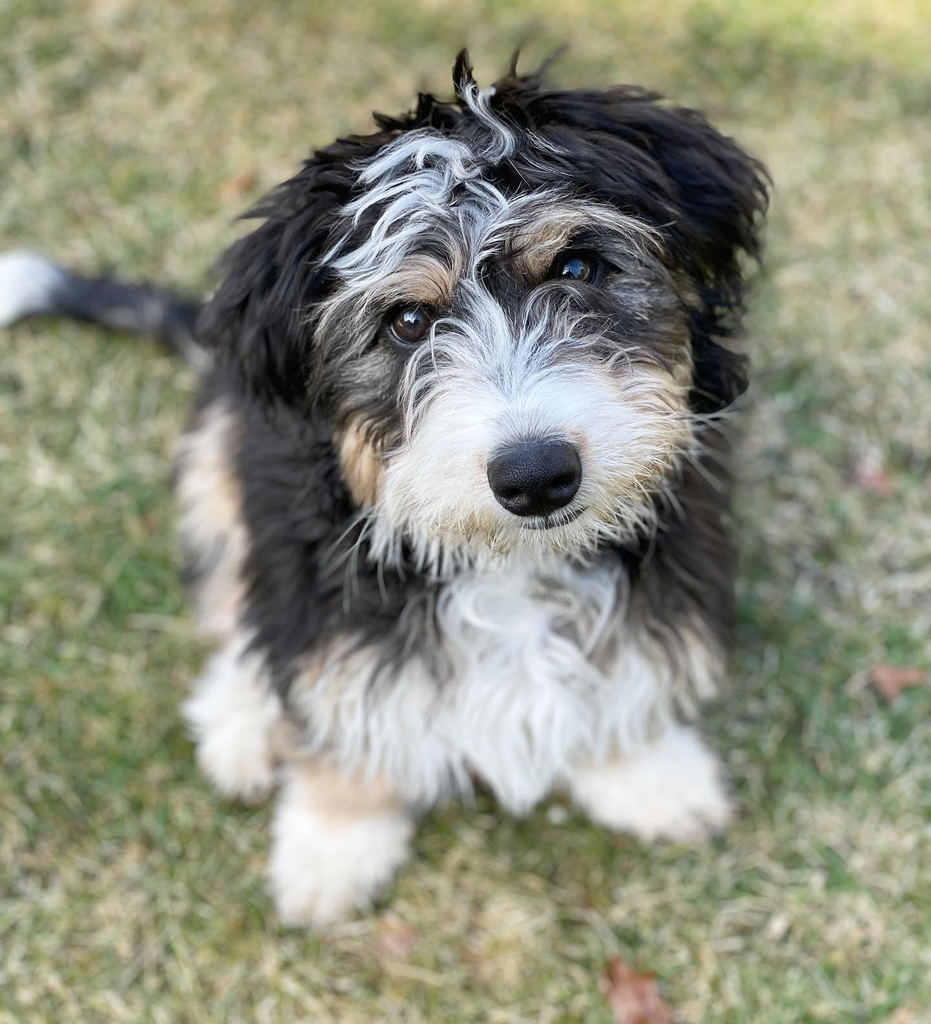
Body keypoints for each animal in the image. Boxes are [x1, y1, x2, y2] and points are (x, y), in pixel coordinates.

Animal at [1, 53, 768, 928]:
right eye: (407, 320)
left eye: (576, 267)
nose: (536, 476)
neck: (507, 564)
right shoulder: (316, 579)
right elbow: (337, 714)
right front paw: (331, 848)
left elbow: (630, 669)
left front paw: (646, 774)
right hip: (218, 468)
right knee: (235, 604)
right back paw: (239, 722)